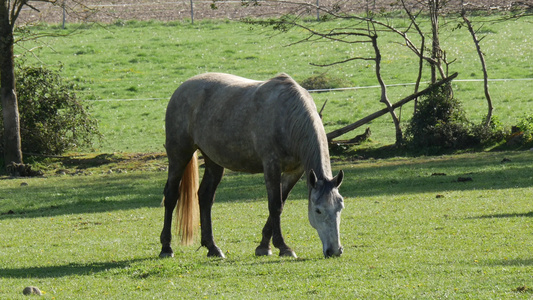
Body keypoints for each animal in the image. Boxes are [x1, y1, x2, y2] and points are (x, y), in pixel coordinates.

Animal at [160, 72, 344, 258]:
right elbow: (275, 205)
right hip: (179, 155)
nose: (335, 250)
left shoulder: (295, 171)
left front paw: (264, 246)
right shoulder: (271, 165)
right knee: (171, 196)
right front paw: (283, 247)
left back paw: (213, 248)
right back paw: (166, 248)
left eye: (340, 207)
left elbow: (281, 202)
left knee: (205, 197)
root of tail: (182, 88)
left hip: (213, 161)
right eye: (318, 210)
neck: (287, 117)